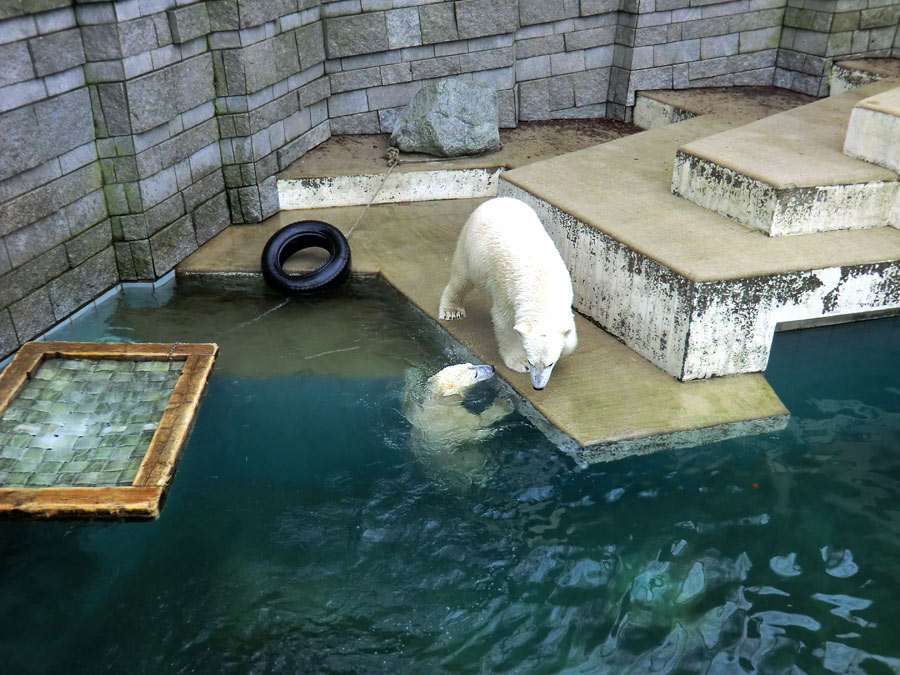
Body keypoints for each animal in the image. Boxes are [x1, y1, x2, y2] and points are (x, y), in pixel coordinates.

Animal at [442, 197, 580, 390]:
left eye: (550, 364)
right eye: (531, 362)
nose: (538, 387)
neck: (542, 289)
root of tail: (497, 199)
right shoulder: (507, 290)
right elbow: (505, 323)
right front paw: (518, 362)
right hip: (471, 246)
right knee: (462, 277)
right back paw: (451, 310)